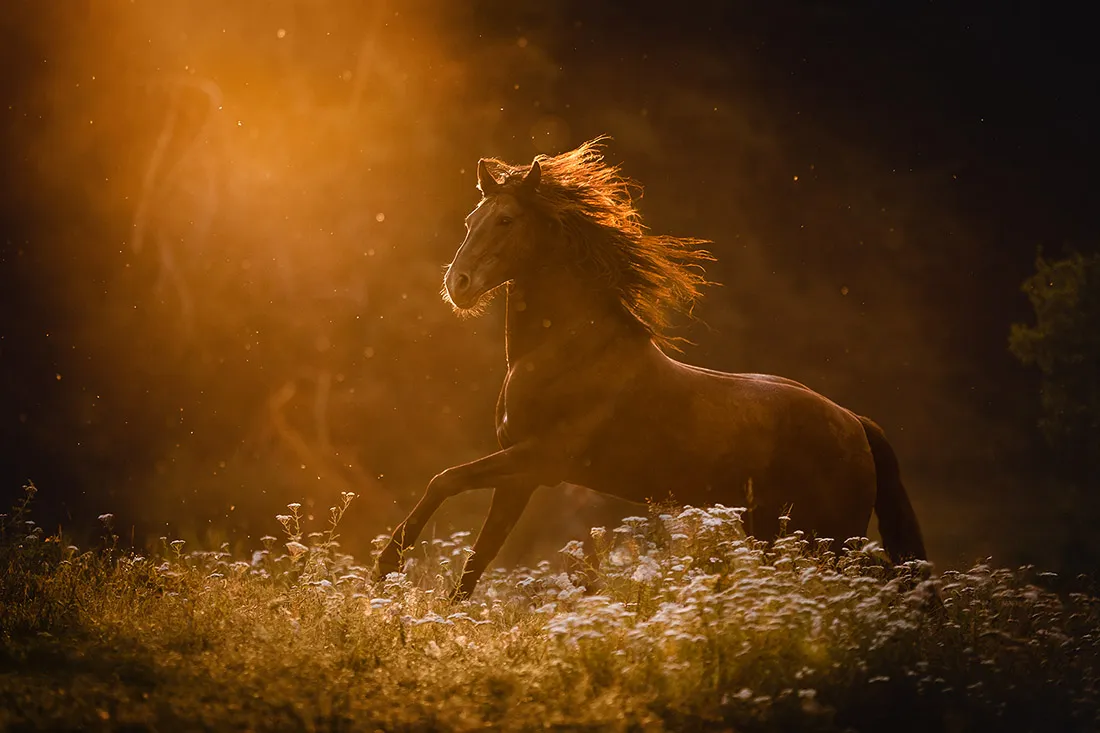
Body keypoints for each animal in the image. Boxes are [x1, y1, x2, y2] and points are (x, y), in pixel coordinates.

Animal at [374, 138, 924, 598]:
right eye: (472, 219)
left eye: (507, 220)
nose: (458, 284)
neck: (565, 352)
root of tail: (855, 423)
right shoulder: (520, 474)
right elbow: (480, 555)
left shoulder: (540, 458)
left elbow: (443, 480)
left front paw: (384, 568)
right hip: (776, 531)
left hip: (828, 535)